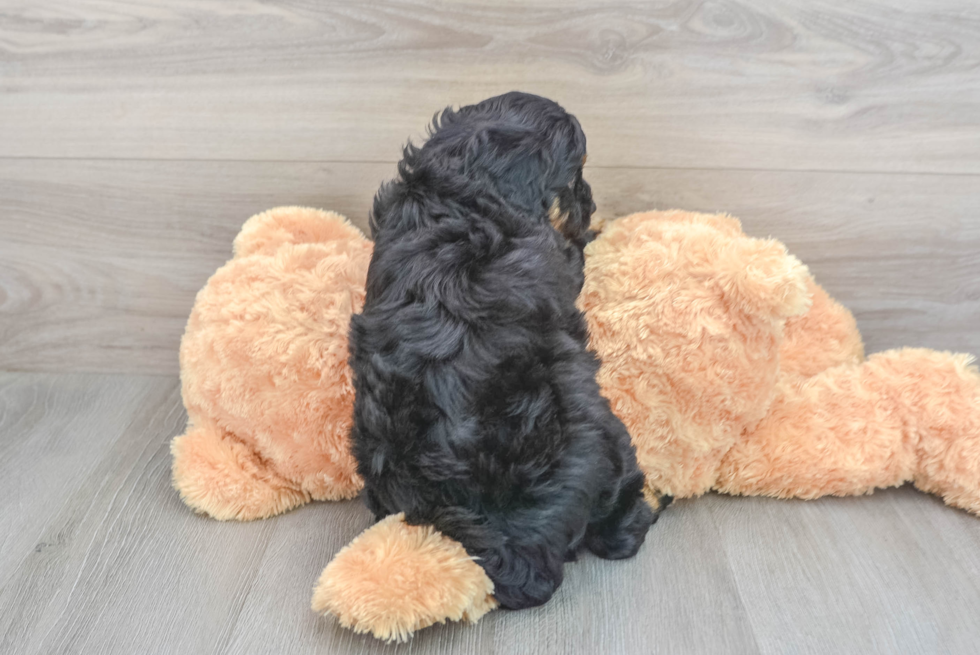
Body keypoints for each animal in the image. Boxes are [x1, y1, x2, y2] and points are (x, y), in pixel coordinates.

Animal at [348, 92, 656, 608]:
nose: (592, 200)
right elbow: (576, 255)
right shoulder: (560, 256)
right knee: (618, 525)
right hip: (599, 430)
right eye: (575, 176)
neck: (461, 186)